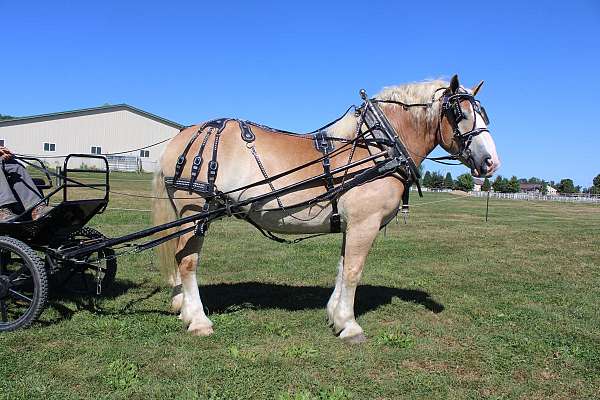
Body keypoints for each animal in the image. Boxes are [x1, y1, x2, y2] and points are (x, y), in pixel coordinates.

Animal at [152, 76, 500, 344]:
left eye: (484, 114)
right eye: (459, 113)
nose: (490, 162)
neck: (376, 147)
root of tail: (182, 136)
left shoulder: (351, 225)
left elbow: (342, 268)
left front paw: (334, 315)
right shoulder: (364, 223)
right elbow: (354, 271)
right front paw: (349, 325)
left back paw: (183, 309)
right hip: (194, 214)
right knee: (187, 264)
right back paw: (198, 320)